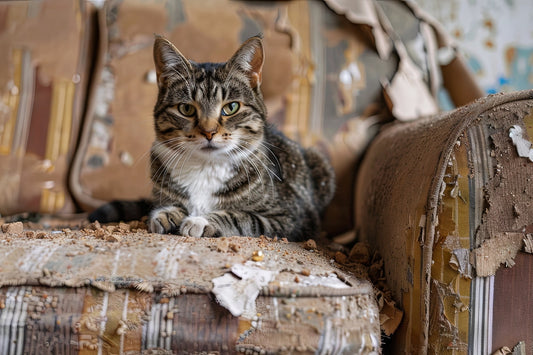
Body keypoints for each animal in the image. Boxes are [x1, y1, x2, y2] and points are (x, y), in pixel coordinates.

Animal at [90, 35, 334, 242]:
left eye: (231, 107)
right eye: (186, 109)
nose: (208, 132)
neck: (205, 167)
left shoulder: (290, 218)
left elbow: (243, 217)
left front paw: (200, 220)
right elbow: (167, 204)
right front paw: (167, 214)